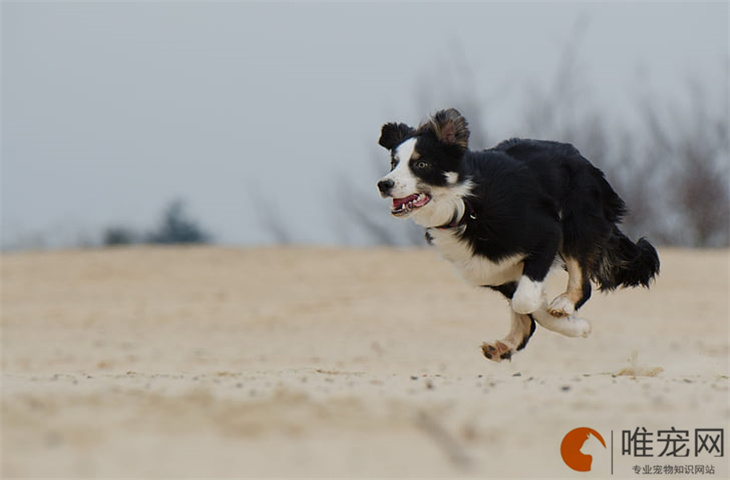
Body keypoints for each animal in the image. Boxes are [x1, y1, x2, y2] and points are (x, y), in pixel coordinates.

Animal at [376, 108, 660, 360]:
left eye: (421, 164)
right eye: (393, 163)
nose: (383, 184)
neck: (467, 206)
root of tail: (581, 158)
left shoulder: (547, 234)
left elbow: (524, 301)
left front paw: (576, 325)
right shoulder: (486, 269)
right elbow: (525, 304)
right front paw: (575, 326)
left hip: (577, 224)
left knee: (582, 282)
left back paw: (563, 305)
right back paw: (503, 346)